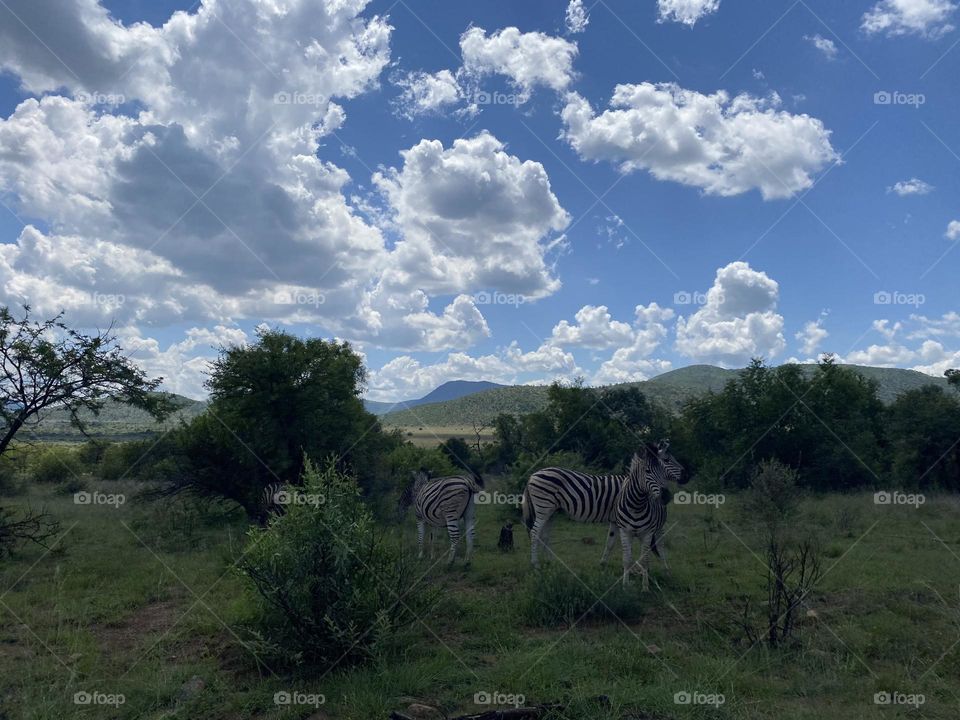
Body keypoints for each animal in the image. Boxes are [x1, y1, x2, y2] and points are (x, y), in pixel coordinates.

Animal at [521, 448, 683, 569]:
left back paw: (550, 561)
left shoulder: (616, 520)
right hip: (544, 507)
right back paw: (535, 564)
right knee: (535, 533)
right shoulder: (624, 520)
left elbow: (610, 543)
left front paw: (603, 564)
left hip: (551, 511)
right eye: (667, 460)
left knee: (544, 536)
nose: (686, 474)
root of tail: (532, 475)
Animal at [614, 440, 684, 590]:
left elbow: (645, 560)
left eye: (662, 470)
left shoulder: (647, 532)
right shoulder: (625, 531)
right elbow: (626, 559)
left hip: (658, 529)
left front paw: (645, 587)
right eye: (647, 471)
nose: (666, 496)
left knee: (660, 549)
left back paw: (665, 573)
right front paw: (625, 585)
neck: (636, 505)